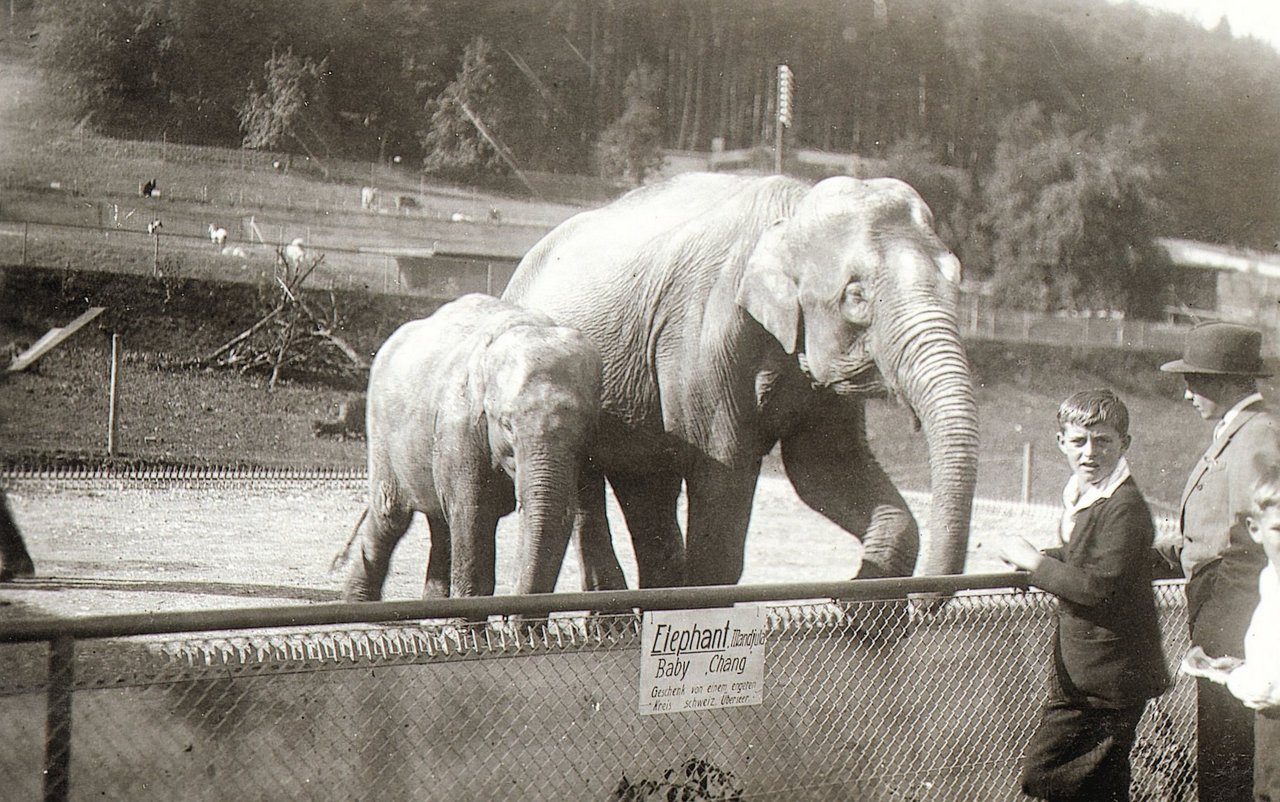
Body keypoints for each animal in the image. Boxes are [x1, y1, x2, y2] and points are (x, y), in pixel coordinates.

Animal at [340, 295, 599, 603]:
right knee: (391, 517)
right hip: (381, 432)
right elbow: (473, 515)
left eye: (585, 425)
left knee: (439, 521)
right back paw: (358, 603)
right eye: (507, 425)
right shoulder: (459, 428)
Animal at [501, 172, 977, 590]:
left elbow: (823, 468)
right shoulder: (701, 335)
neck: (791, 216)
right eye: (856, 296)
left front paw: (857, 611)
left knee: (647, 486)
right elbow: (723, 474)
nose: (925, 600)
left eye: (958, 281)